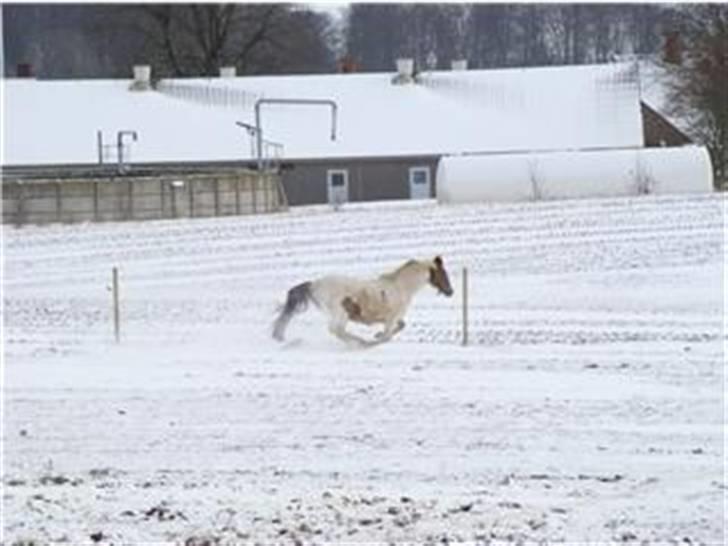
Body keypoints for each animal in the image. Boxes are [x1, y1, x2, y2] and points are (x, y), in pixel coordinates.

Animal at [272, 256, 452, 348]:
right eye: (443, 273)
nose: (451, 291)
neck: (400, 287)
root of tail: (314, 284)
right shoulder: (391, 318)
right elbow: (387, 336)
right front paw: (375, 340)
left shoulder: (393, 318)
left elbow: (401, 326)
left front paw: (376, 334)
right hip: (340, 313)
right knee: (336, 330)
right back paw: (361, 343)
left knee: (337, 331)